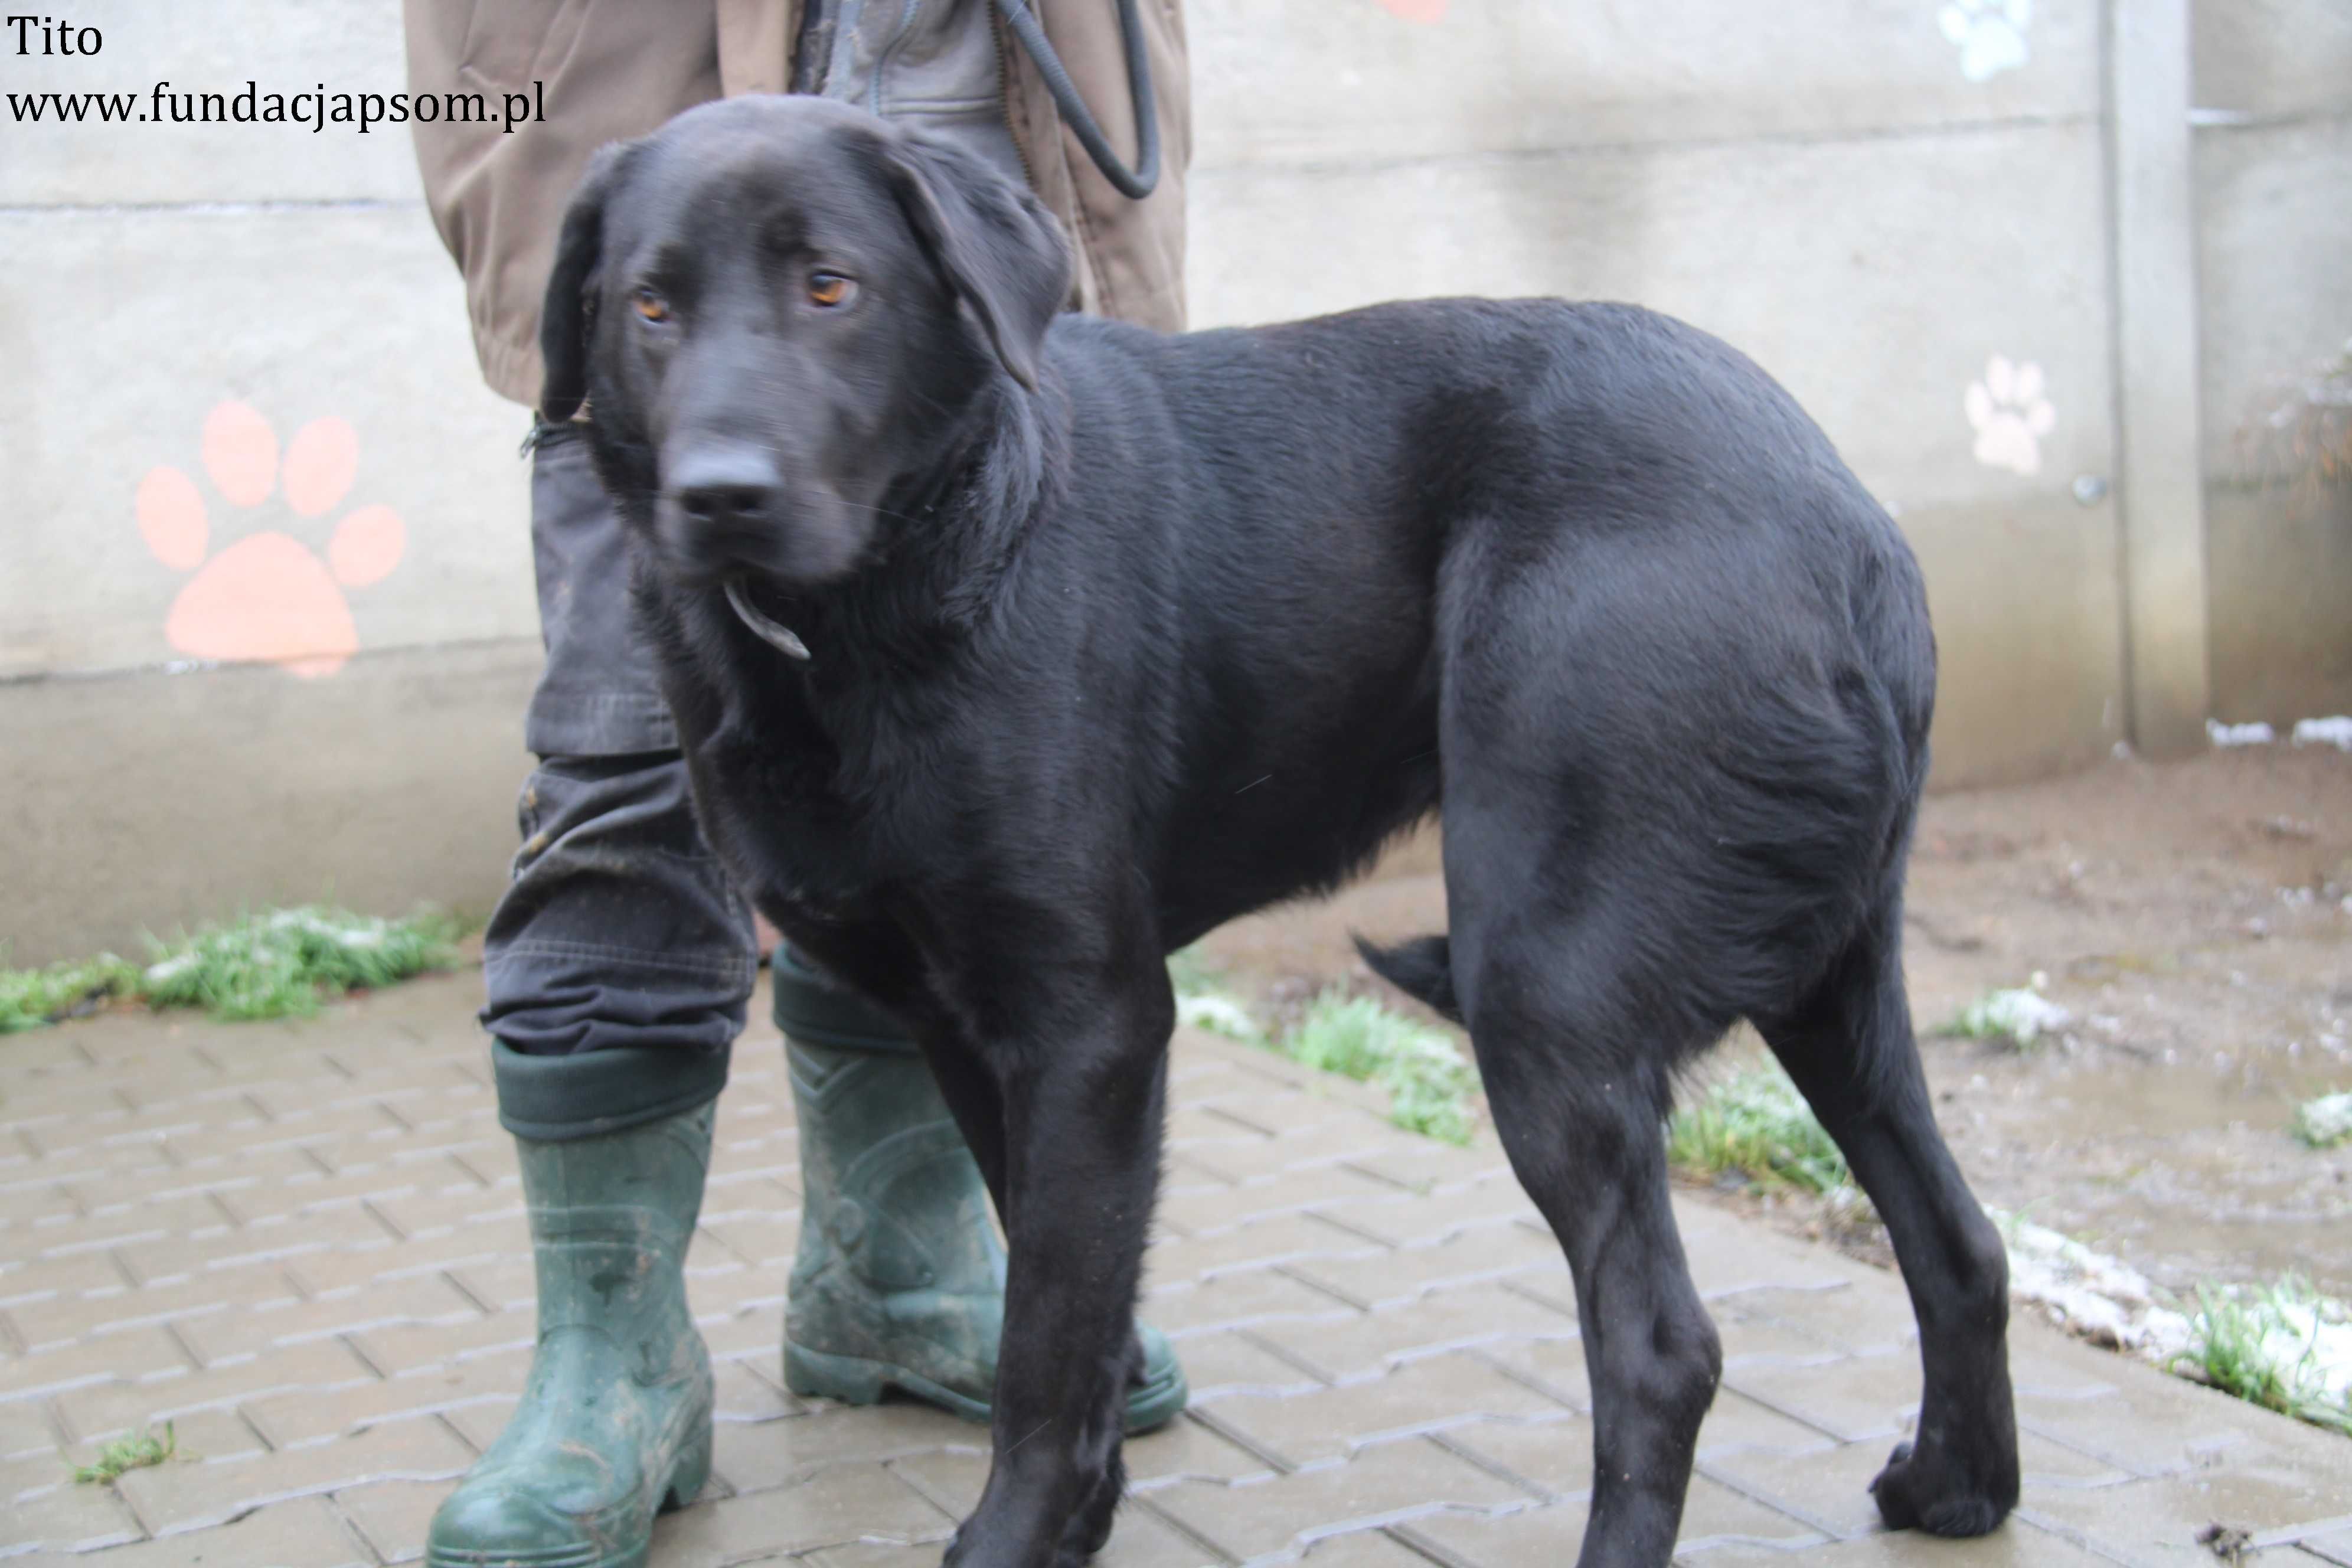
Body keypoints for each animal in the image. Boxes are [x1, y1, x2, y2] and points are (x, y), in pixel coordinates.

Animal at [538, 95, 2023, 1568]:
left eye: (831, 286)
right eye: (651, 306)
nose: (721, 494)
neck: (898, 582)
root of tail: (1850, 526)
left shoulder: (1092, 1021)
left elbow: (1048, 1337)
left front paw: (1018, 1535)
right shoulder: (965, 1023)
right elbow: (1063, 1288)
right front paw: (1082, 1509)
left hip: (1545, 985)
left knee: (1661, 1348)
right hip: (1835, 982)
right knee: (1962, 1241)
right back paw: (1960, 1489)